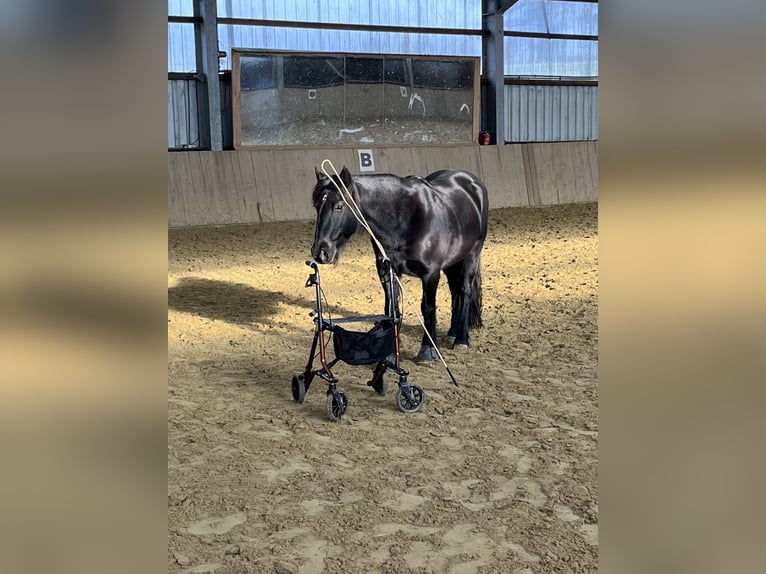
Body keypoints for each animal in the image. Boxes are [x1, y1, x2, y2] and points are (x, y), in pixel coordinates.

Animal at [310, 165, 488, 363]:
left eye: (339, 206)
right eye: (317, 206)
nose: (320, 252)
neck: (404, 221)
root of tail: (472, 182)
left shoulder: (430, 273)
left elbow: (428, 308)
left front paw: (427, 350)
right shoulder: (386, 270)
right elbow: (391, 308)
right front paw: (390, 352)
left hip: (472, 255)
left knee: (464, 291)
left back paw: (461, 339)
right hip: (452, 263)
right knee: (455, 291)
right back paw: (452, 332)